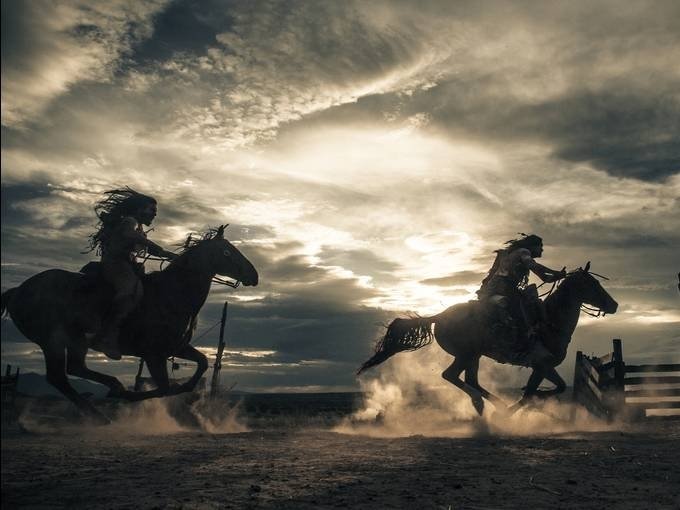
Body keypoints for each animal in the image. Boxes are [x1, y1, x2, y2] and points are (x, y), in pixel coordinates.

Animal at [1, 226, 256, 422]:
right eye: (227, 251)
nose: (254, 275)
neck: (170, 293)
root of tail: (17, 291)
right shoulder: (154, 354)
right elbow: (164, 387)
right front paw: (130, 396)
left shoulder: (177, 347)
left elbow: (201, 364)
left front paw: (184, 391)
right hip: (53, 341)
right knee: (61, 376)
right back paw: (107, 403)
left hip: (73, 341)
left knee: (71, 370)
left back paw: (104, 405)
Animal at [358, 264, 620, 416]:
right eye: (593, 284)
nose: (614, 305)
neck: (550, 321)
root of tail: (440, 316)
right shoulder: (541, 365)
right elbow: (536, 392)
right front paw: (518, 408)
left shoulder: (543, 366)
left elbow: (553, 387)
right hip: (467, 354)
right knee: (452, 376)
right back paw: (486, 404)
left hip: (474, 356)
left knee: (469, 379)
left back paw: (488, 404)